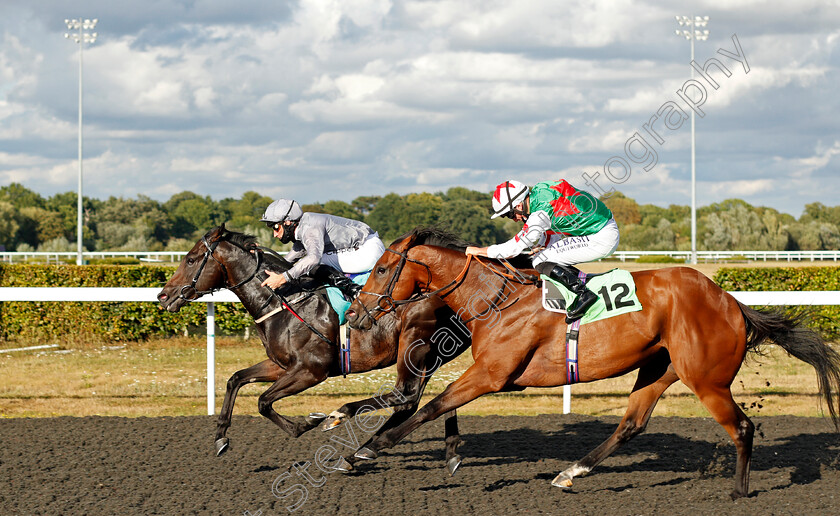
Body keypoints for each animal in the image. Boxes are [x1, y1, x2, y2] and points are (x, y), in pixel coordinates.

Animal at [158, 224, 472, 474]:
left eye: (190, 259)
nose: (163, 296)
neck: (284, 301)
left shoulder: (311, 371)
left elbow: (262, 401)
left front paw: (307, 423)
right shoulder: (282, 366)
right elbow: (235, 379)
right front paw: (221, 437)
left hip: (416, 344)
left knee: (406, 395)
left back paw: (349, 428)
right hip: (433, 354)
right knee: (418, 400)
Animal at [346, 227, 840, 500]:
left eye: (383, 269)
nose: (354, 314)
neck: (495, 298)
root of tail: (732, 302)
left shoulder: (492, 374)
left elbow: (432, 406)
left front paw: (365, 450)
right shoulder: (494, 375)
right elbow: (440, 405)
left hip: (707, 379)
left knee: (741, 427)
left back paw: (738, 491)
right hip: (658, 368)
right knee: (631, 424)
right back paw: (570, 472)